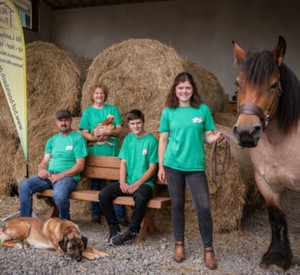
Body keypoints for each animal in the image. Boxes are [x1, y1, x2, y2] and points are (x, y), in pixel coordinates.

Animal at [232, 36, 300, 272]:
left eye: (273, 85)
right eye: (238, 83)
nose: (246, 132)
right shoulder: (265, 183)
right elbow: (276, 219)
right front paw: (277, 257)